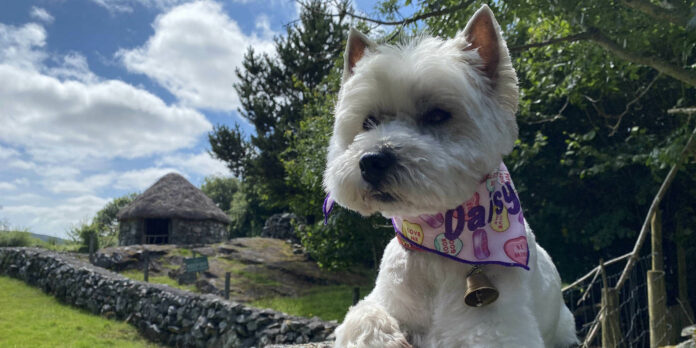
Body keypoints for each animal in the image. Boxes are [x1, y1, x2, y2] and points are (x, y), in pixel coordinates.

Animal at [324, 5, 580, 348]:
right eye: (369, 121)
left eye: (437, 115)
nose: (372, 161)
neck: (436, 247)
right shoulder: (379, 300)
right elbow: (362, 317)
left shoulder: (500, 329)